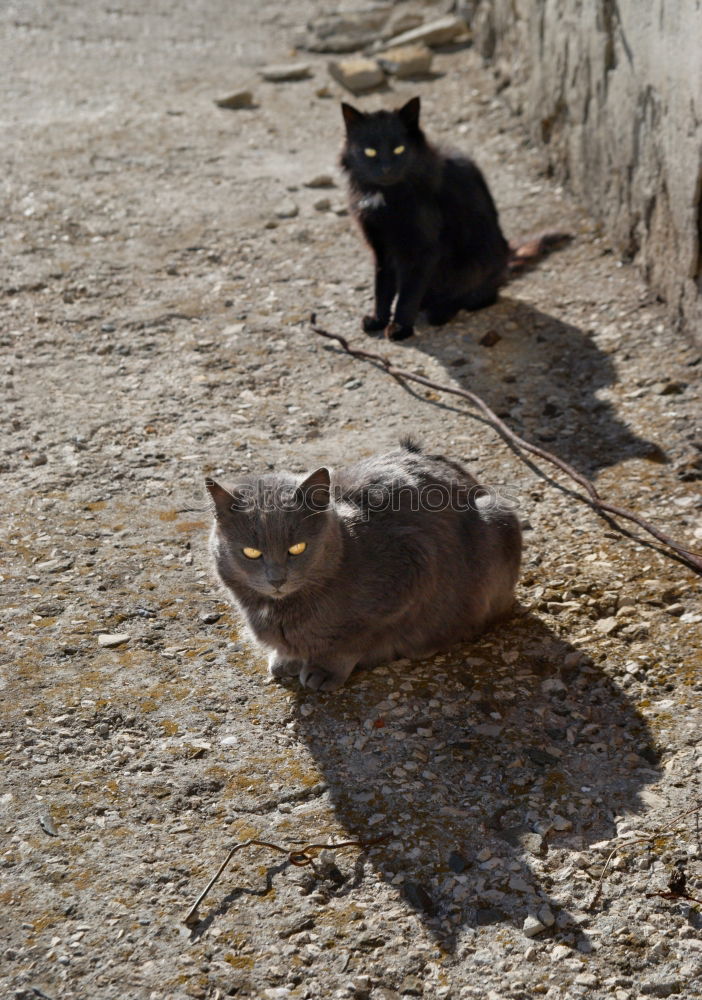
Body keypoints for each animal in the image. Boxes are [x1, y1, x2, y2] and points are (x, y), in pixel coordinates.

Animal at [206, 442, 520, 692]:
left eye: (297, 548)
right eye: (251, 552)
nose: (276, 579)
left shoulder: (414, 569)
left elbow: (354, 640)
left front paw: (323, 670)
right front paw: (286, 660)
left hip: (497, 517)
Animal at [344, 96, 516, 342]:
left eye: (399, 149)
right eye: (370, 152)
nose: (386, 168)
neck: (387, 195)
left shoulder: (424, 250)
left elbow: (407, 296)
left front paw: (400, 328)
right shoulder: (382, 248)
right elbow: (382, 288)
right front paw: (378, 320)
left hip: (475, 263)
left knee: (479, 297)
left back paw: (441, 310)